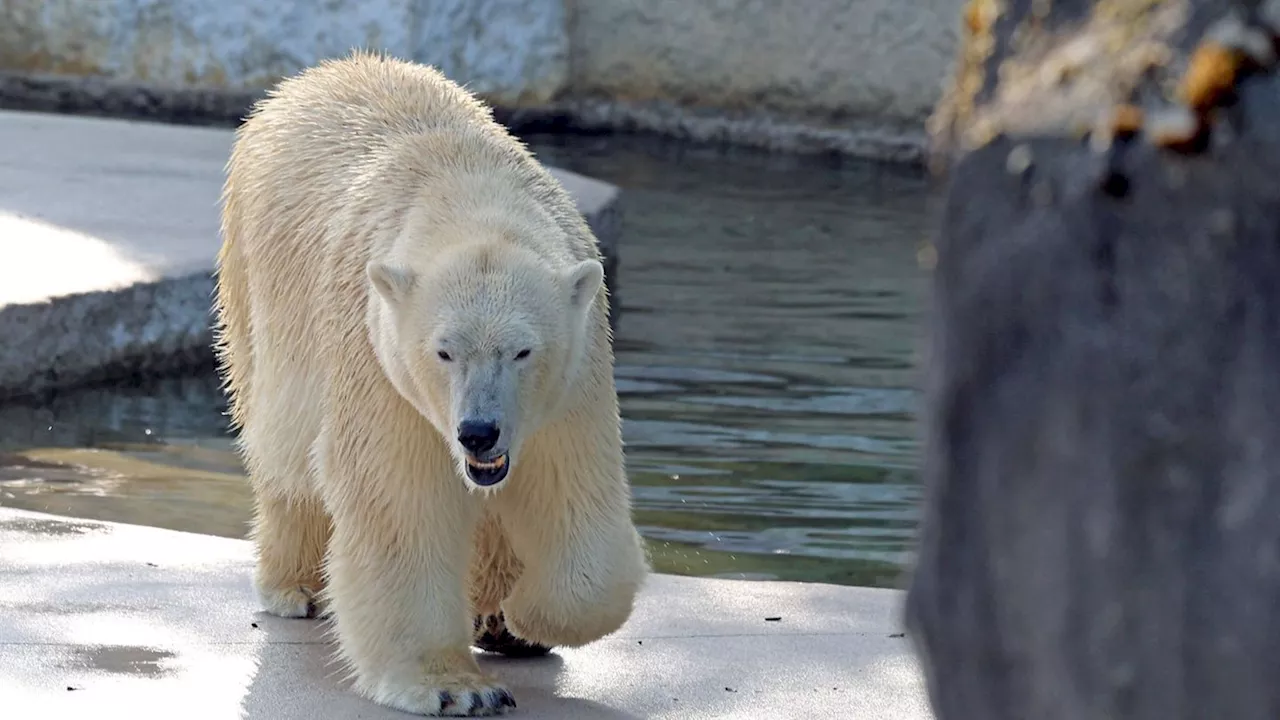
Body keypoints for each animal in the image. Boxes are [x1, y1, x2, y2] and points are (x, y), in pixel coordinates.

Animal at [215, 50, 650, 712]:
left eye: (523, 351)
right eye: (443, 352)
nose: (478, 432)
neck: (468, 186)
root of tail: (315, 76)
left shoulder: (576, 375)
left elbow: (573, 490)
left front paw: (524, 617)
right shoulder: (378, 356)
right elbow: (399, 497)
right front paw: (455, 689)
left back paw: (496, 618)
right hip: (254, 279)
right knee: (284, 450)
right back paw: (297, 586)